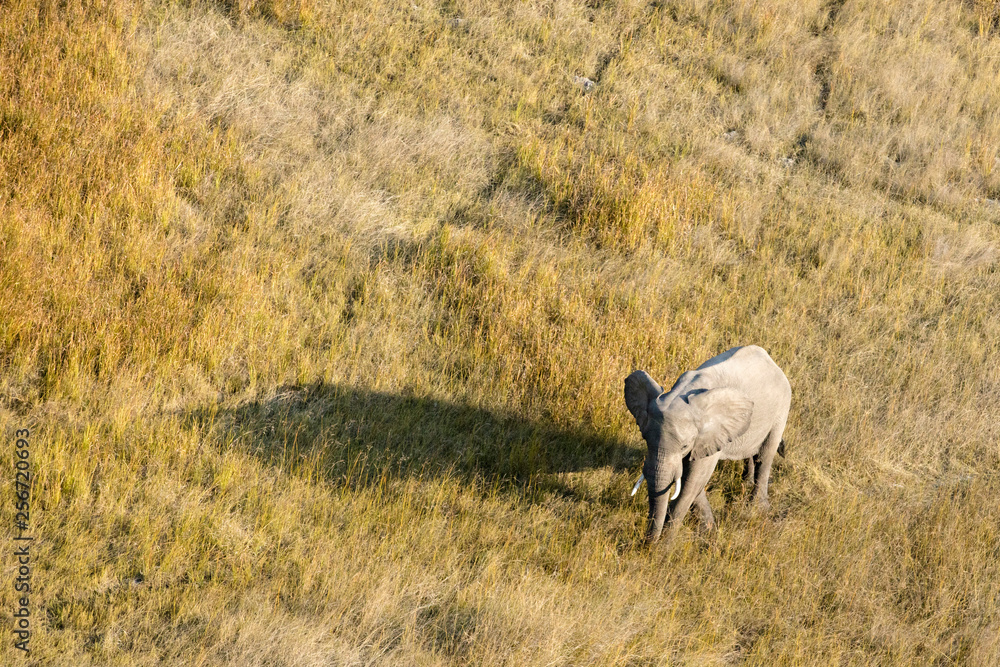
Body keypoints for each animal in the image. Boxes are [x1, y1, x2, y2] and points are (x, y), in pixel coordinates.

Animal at [624, 345, 791, 544]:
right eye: (645, 439)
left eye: (684, 446)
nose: (645, 543)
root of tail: (771, 360)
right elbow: (693, 481)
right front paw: (708, 528)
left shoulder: (709, 436)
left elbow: (692, 481)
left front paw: (665, 545)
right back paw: (746, 483)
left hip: (781, 409)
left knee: (764, 456)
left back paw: (756, 508)